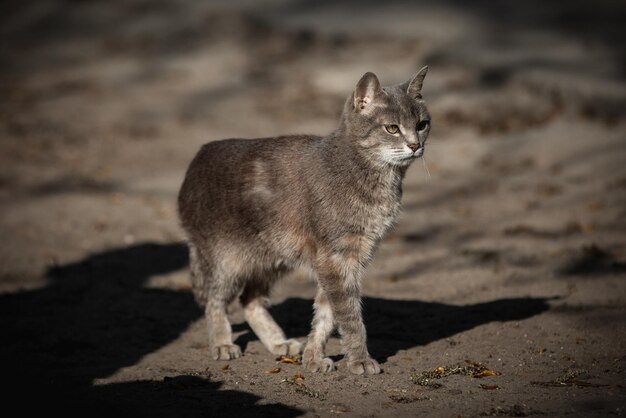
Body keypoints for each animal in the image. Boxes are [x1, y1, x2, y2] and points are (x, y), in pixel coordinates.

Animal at [178, 66, 426, 376]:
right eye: (392, 128)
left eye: (422, 124)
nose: (416, 145)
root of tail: (195, 160)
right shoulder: (335, 257)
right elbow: (349, 315)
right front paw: (359, 360)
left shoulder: (349, 258)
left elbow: (326, 313)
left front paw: (313, 358)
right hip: (226, 261)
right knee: (215, 300)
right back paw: (223, 343)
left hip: (271, 258)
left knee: (249, 300)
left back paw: (278, 343)